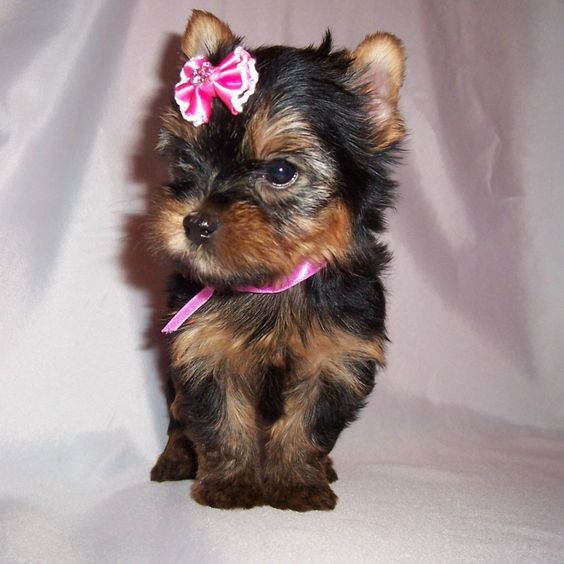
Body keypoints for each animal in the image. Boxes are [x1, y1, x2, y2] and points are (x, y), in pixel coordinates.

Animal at [149, 8, 406, 512]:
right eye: (189, 159)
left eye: (281, 171)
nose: (195, 222)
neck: (271, 283)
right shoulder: (204, 349)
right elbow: (221, 419)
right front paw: (231, 483)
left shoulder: (337, 356)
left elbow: (306, 425)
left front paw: (294, 483)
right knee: (176, 415)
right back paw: (174, 459)